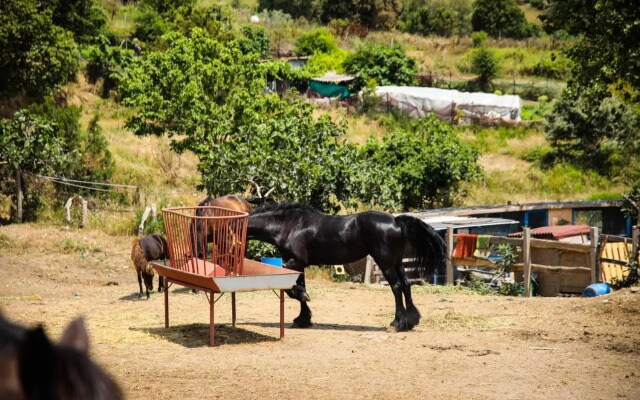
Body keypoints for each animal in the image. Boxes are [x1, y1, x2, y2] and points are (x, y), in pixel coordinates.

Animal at [247, 203, 447, 332]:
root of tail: (396, 221)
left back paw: (396, 324)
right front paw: (303, 319)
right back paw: (411, 321)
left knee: (397, 287)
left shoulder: (295, 262)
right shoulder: (299, 264)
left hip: (386, 263)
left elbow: (294, 290)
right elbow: (299, 287)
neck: (289, 225)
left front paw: (303, 301)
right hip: (397, 262)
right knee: (406, 285)